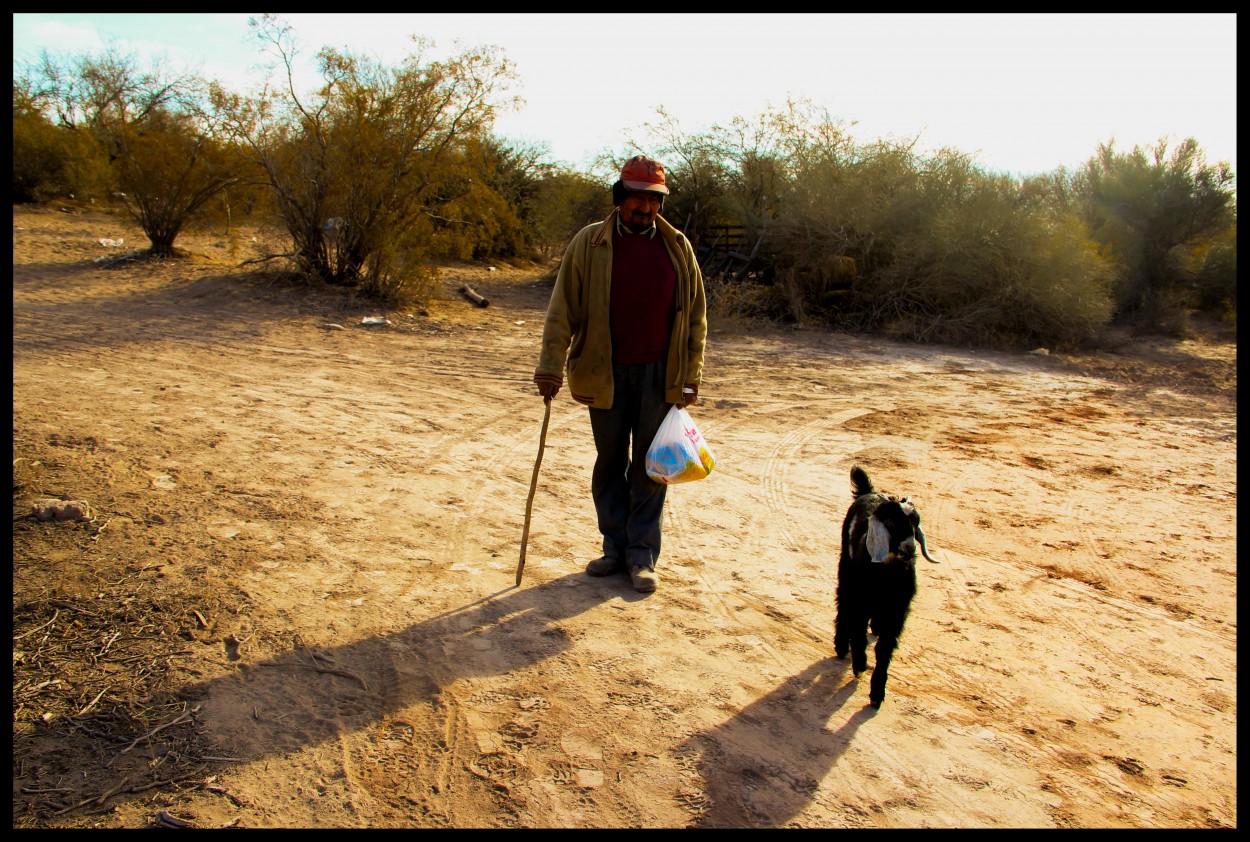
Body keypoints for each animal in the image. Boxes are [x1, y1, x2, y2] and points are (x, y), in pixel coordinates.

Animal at [835, 462, 935, 704]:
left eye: (915, 523)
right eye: (890, 523)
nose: (910, 548)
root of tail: (868, 493)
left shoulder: (898, 611)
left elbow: (884, 648)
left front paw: (877, 692)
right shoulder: (861, 600)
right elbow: (858, 633)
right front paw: (860, 666)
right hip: (846, 570)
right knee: (842, 602)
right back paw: (841, 645)